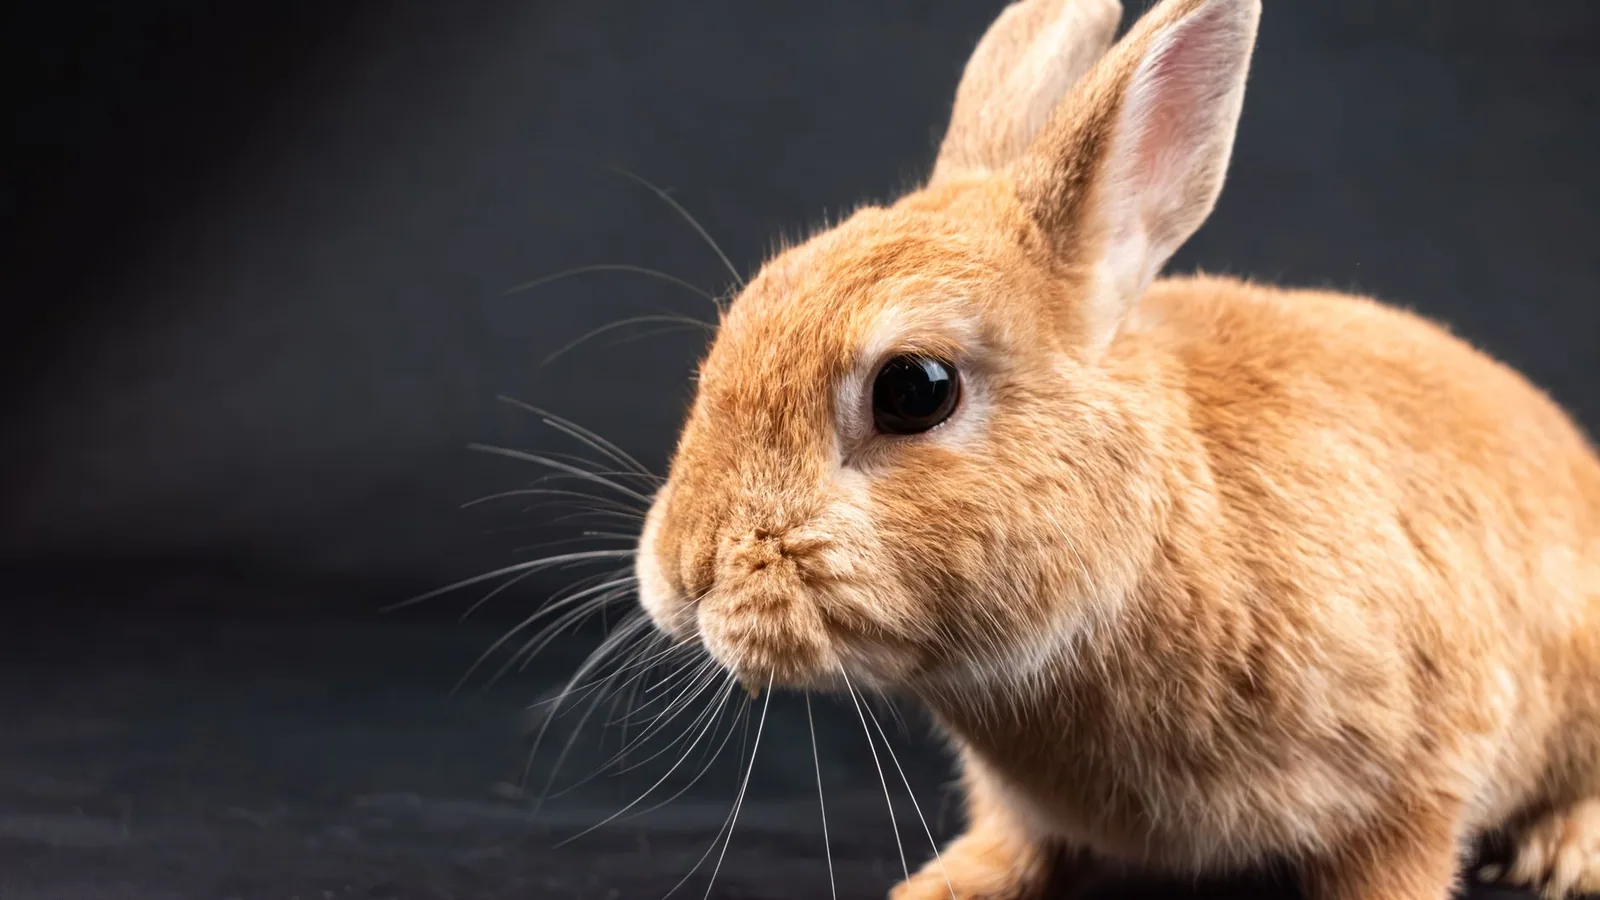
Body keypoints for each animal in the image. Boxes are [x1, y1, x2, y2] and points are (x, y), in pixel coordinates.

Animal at [630, 0, 1600, 898]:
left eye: (914, 390)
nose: (684, 572)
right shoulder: (1018, 802)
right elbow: (1012, 842)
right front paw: (938, 887)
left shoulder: (1418, 770)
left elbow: (1397, 860)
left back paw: (1566, 855)